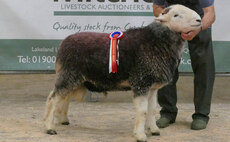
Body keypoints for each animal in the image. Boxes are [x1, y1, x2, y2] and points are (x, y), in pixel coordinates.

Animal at [43, 4, 201, 142]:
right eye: (176, 15)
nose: (199, 20)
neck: (157, 42)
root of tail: (63, 43)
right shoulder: (141, 82)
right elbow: (142, 111)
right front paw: (140, 135)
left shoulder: (152, 87)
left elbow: (151, 110)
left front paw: (154, 130)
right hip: (68, 74)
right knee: (53, 98)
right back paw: (49, 127)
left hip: (74, 78)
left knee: (65, 97)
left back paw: (63, 119)